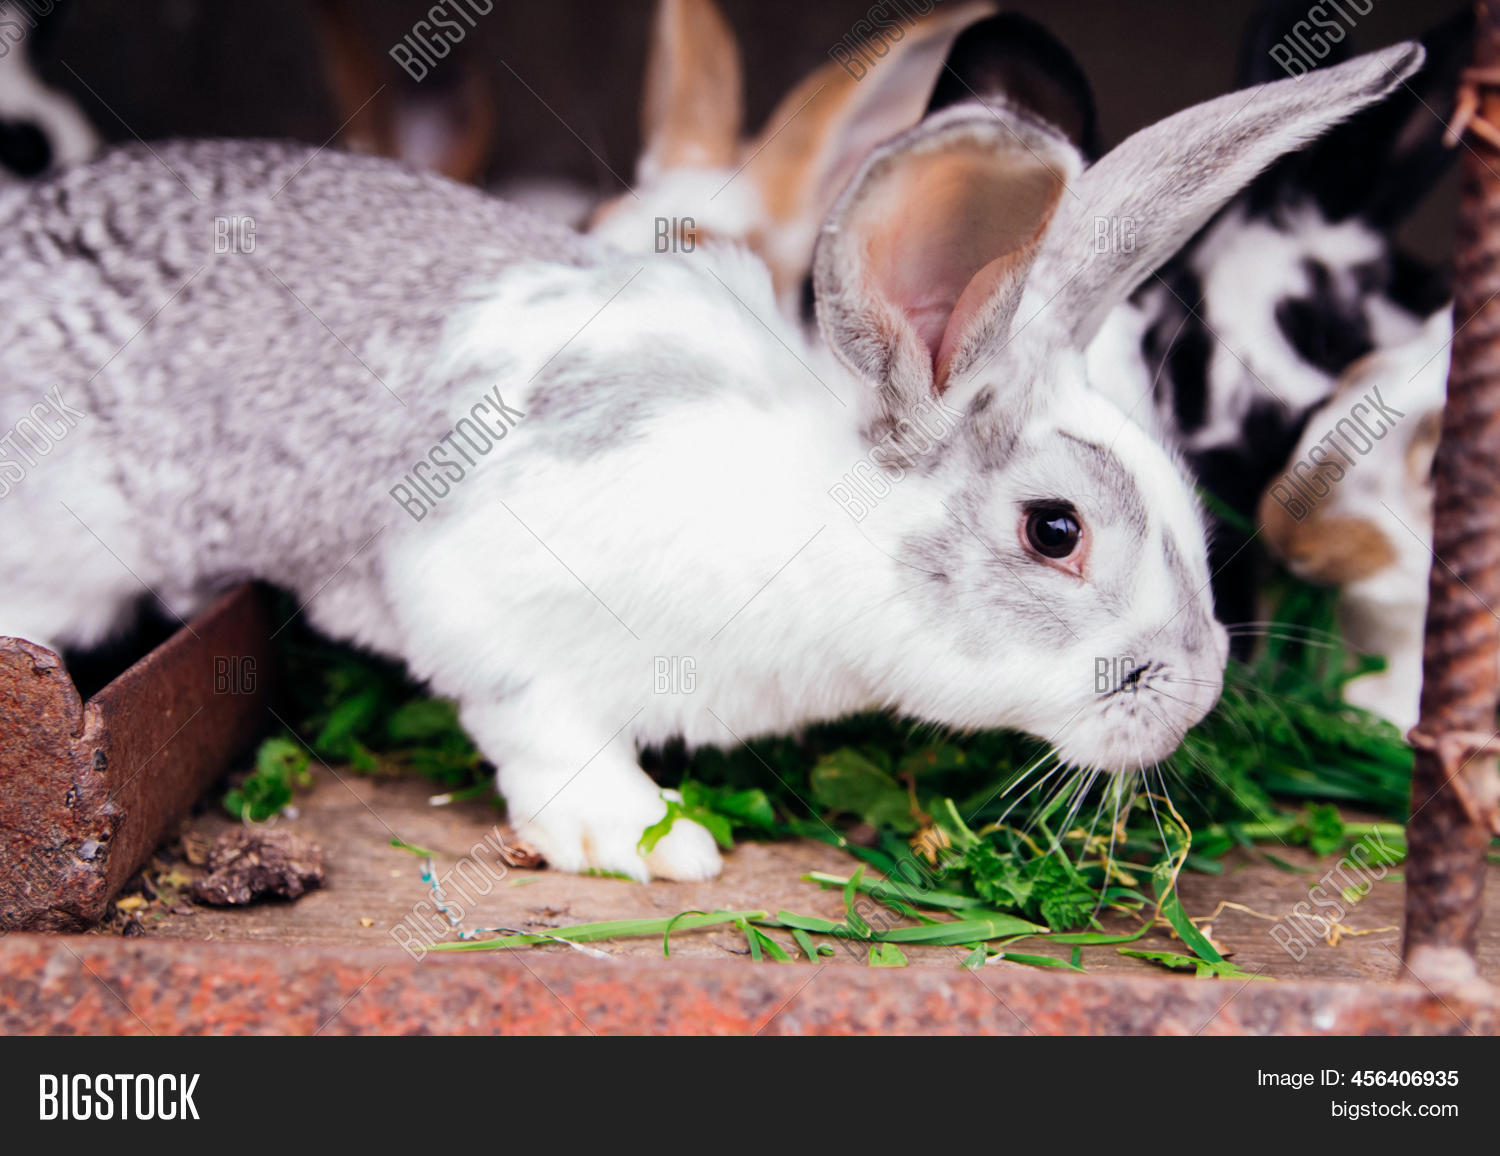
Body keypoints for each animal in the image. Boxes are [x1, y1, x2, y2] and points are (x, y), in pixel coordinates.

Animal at [0, 42, 1422, 881]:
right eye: (1053, 530)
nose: (1193, 696)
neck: (814, 522)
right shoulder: (480, 594)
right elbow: (541, 720)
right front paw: (641, 838)